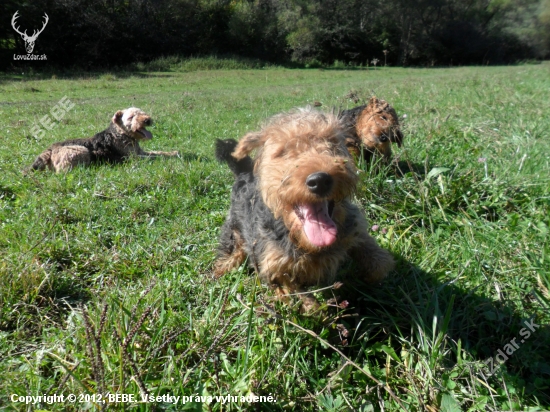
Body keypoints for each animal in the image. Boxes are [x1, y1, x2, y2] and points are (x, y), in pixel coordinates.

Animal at [28, 108, 179, 172]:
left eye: (142, 112)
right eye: (130, 117)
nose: (147, 120)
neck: (122, 134)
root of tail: (48, 150)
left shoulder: (140, 152)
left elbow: (159, 152)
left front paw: (175, 153)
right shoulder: (134, 157)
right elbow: (156, 156)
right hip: (80, 151)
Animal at [212, 108, 396, 310]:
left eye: (332, 142)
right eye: (283, 152)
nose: (320, 180)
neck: (309, 244)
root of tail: (243, 172)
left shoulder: (353, 225)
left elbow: (376, 258)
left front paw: (370, 270)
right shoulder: (272, 263)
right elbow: (296, 294)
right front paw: (310, 305)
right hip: (234, 230)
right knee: (229, 252)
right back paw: (219, 271)